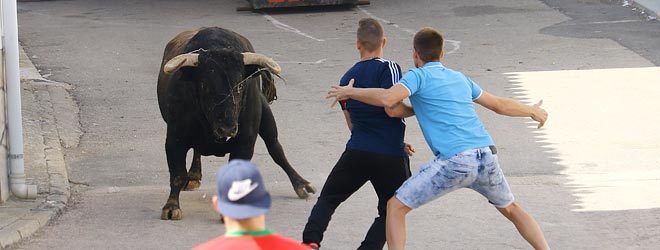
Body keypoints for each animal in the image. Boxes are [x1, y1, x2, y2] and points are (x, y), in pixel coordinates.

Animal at [159, 26, 316, 220]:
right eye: (206, 86)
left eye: (240, 86)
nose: (227, 129)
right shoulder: (175, 139)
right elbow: (177, 174)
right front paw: (171, 206)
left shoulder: (245, 142)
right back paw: (194, 176)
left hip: (266, 115)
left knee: (276, 148)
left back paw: (301, 184)